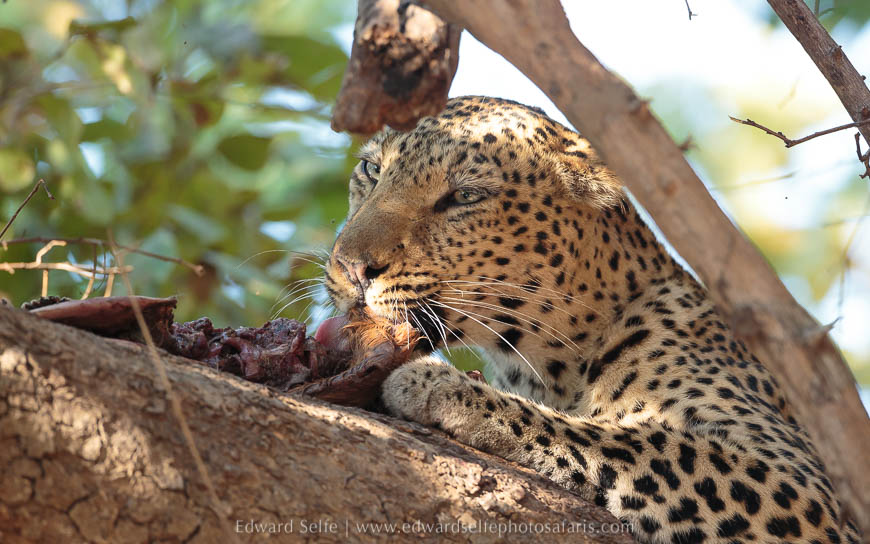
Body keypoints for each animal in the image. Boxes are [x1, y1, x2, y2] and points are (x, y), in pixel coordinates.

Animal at [323, 96, 862, 544]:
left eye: (465, 197)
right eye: (370, 169)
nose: (351, 267)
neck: (550, 360)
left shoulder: (799, 482)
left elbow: (634, 440)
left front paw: (442, 387)